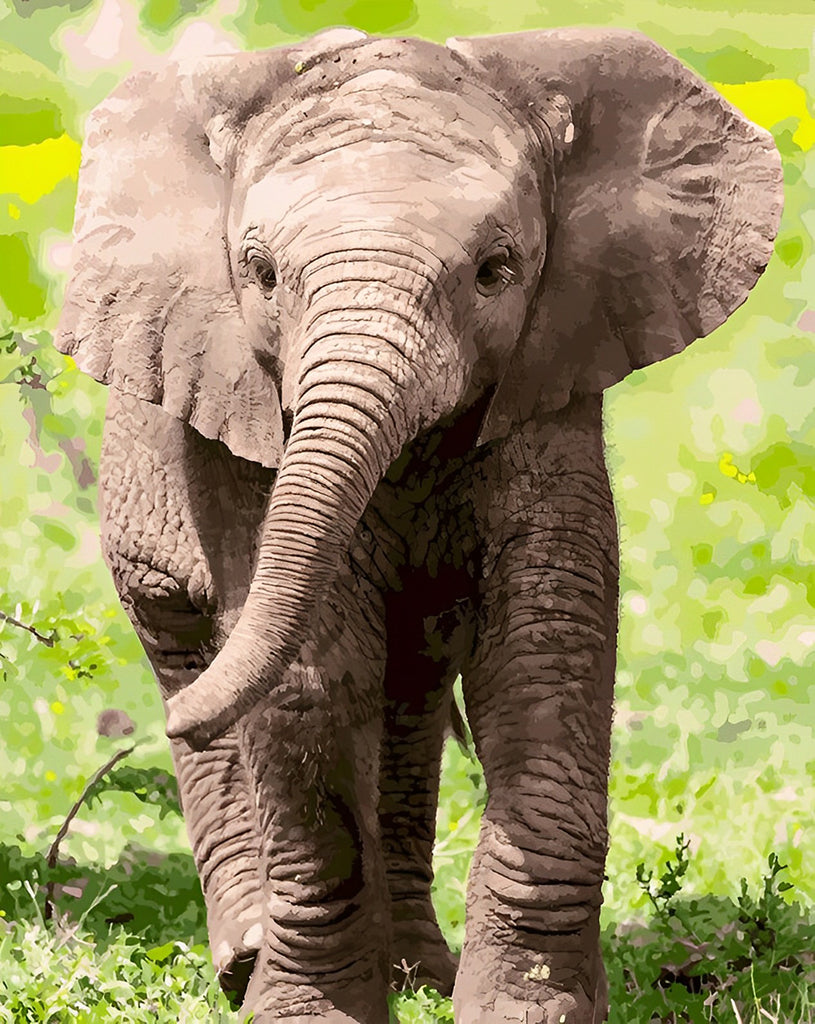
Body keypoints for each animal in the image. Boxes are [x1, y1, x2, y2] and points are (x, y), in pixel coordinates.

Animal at [54, 28, 778, 1024]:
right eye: (260, 274)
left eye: (495, 271)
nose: (158, 728)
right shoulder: (242, 423)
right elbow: (312, 669)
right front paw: (308, 1015)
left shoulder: (547, 382)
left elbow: (544, 645)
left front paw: (522, 1011)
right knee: (191, 645)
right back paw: (249, 958)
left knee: (407, 685)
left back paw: (412, 976)